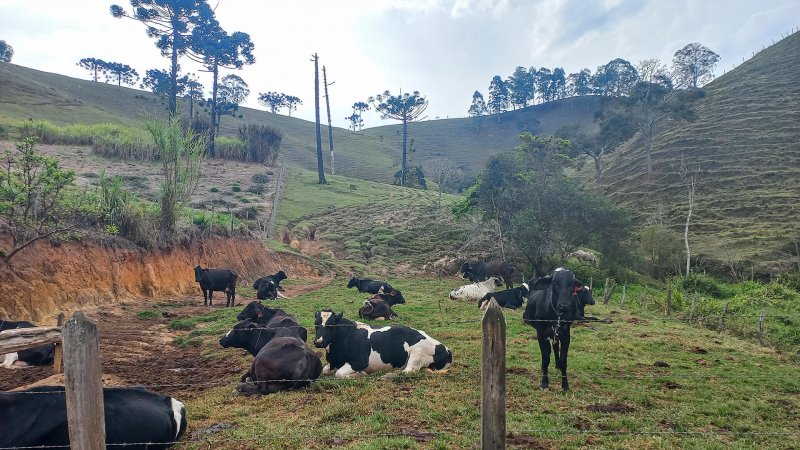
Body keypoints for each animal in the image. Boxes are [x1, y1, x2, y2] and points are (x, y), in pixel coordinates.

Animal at [312, 310, 454, 376]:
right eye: (316, 324)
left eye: (331, 325)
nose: (318, 342)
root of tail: (447, 350)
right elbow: (325, 370)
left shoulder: (360, 362)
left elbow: (339, 374)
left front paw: (361, 374)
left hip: (418, 353)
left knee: (408, 371)